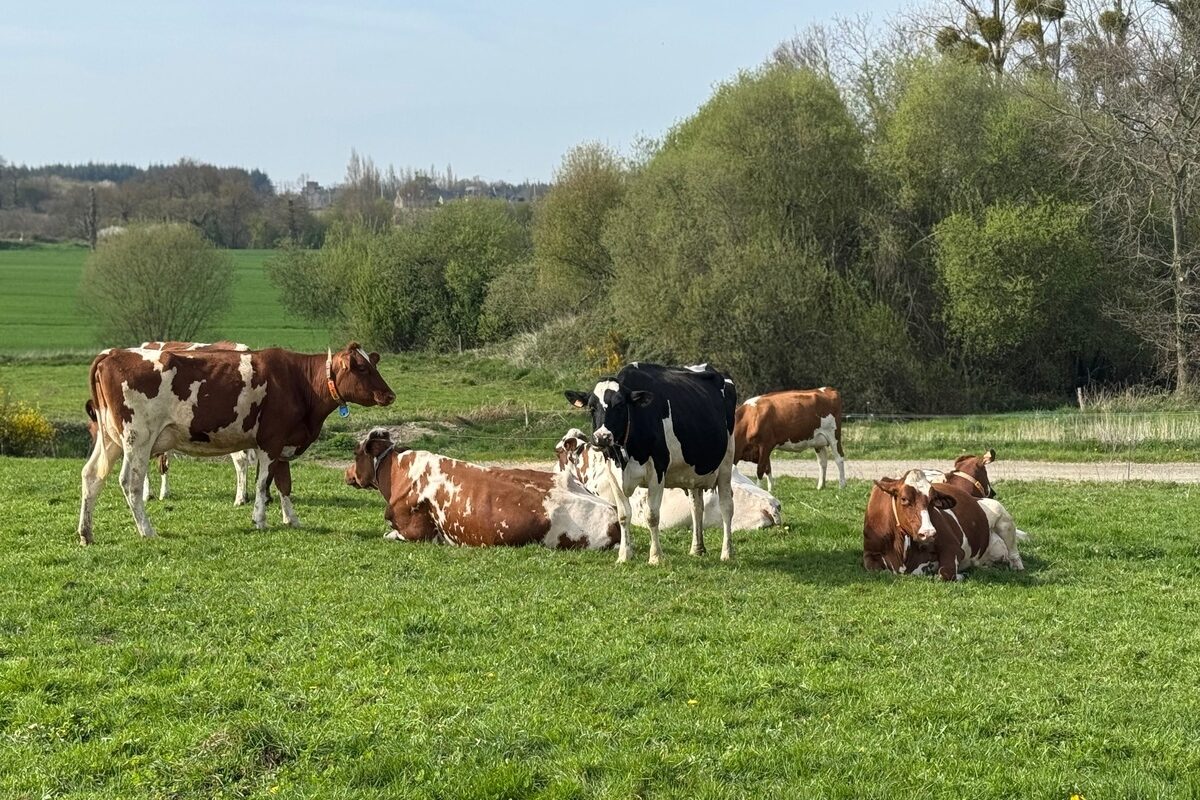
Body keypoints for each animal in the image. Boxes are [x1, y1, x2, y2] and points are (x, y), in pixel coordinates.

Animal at [78, 341, 395, 544]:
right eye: (361, 368)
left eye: (372, 364)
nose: (390, 395)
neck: (298, 381)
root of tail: (112, 354)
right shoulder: (270, 441)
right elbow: (263, 483)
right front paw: (259, 519)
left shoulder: (283, 443)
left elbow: (285, 484)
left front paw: (291, 519)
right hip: (138, 439)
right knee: (129, 482)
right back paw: (146, 530)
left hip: (110, 439)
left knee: (91, 476)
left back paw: (86, 533)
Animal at [345, 429, 620, 549]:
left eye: (356, 452)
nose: (346, 473)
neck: (398, 472)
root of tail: (613, 511)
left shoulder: (417, 534)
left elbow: (389, 534)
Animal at [564, 362, 737, 564]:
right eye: (592, 408)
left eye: (620, 405)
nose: (602, 437)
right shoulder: (613, 473)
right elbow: (623, 515)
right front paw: (624, 556)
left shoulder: (657, 471)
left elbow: (652, 516)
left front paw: (655, 557)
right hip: (693, 472)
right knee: (696, 507)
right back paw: (697, 549)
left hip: (726, 463)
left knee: (726, 506)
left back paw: (727, 552)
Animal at [862, 469, 1025, 581]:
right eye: (904, 499)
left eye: (933, 500)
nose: (928, 533)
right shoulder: (869, 554)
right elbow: (878, 570)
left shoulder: (954, 548)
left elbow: (945, 573)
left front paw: (960, 575)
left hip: (1001, 514)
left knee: (1013, 551)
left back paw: (1016, 566)